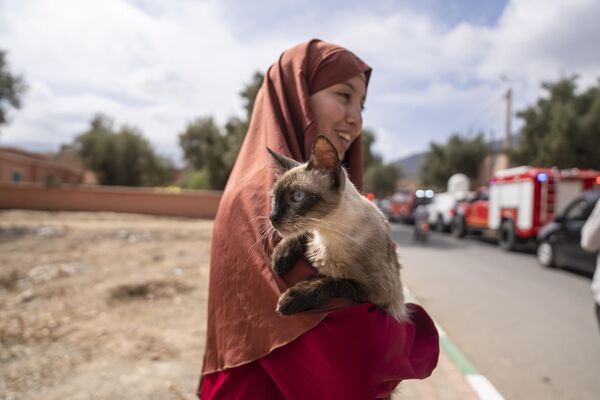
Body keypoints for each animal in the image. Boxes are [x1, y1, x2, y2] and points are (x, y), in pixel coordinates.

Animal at [268, 136, 408, 320]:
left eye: (297, 196)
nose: (272, 218)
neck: (328, 231)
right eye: (274, 198)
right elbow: (303, 233)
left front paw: (290, 299)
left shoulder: (374, 293)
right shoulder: (313, 230)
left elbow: (332, 283)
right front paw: (279, 259)